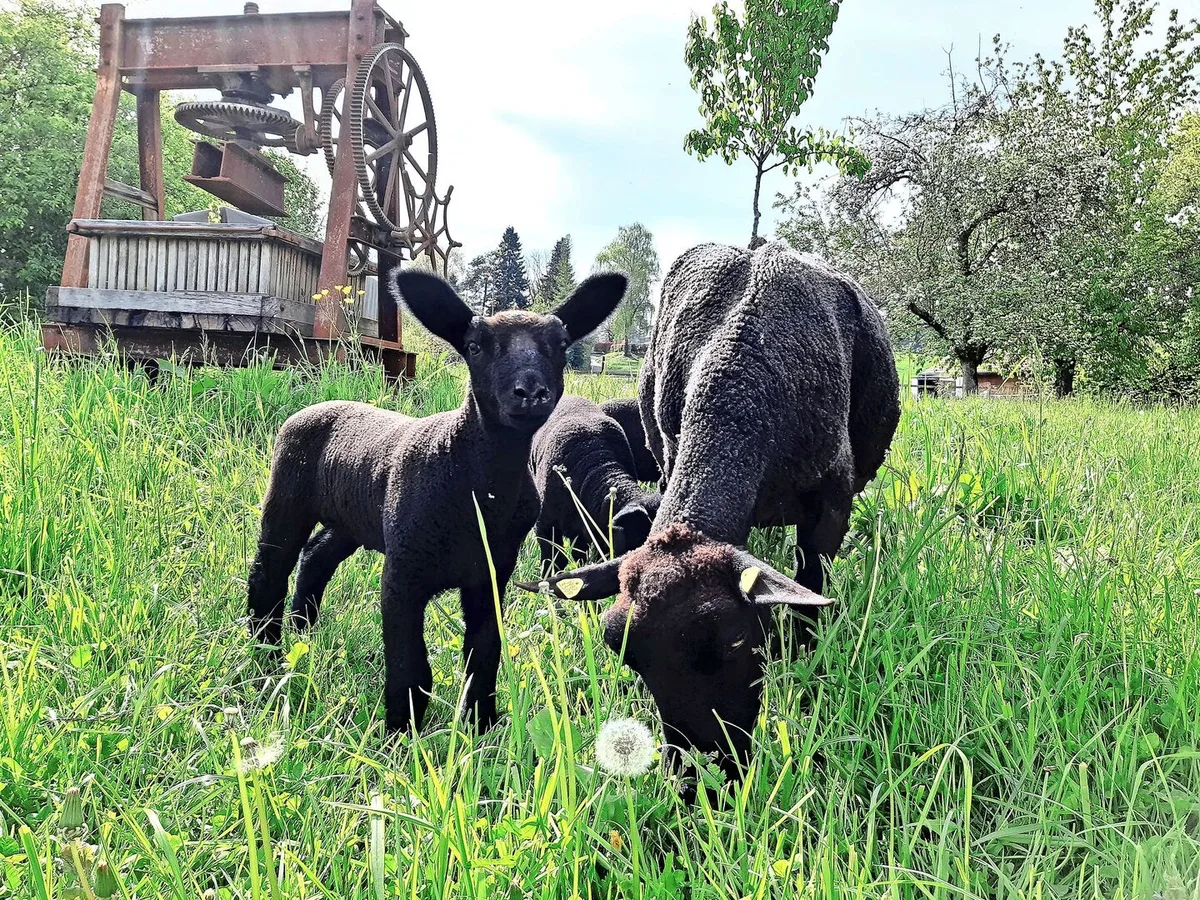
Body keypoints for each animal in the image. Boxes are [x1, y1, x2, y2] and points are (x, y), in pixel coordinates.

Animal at [246, 269, 628, 734]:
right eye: (475, 346)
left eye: (559, 344)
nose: (531, 392)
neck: (474, 482)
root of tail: (317, 405)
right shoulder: (403, 573)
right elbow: (410, 667)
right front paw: (399, 734)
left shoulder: (492, 573)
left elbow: (484, 653)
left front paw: (480, 724)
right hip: (288, 496)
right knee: (269, 570)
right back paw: (264, 654)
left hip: (354, 518)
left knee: (317, 556)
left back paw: (303, 631)